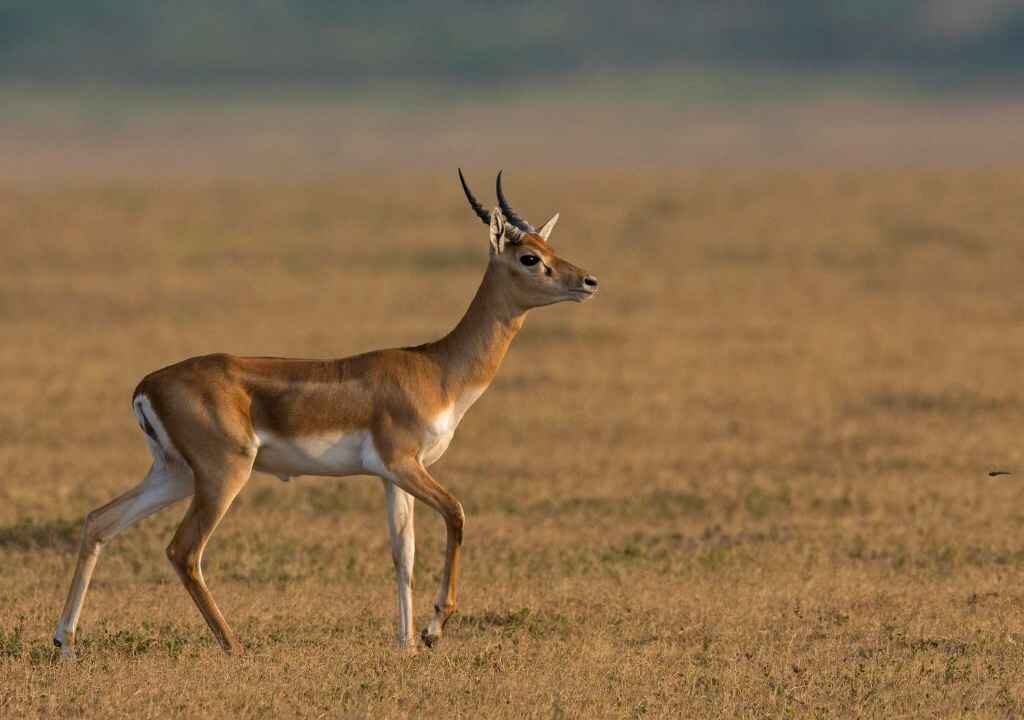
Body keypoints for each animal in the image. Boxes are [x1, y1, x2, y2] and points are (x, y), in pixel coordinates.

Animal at [54, 170, 599, 655]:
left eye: (548, 247)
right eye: (529, 257)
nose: (589, 280)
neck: (437, 368)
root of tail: (147, 385)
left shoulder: (392, 476)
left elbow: (403, 553)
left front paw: (405, 644)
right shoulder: (403, 463)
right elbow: (457, 513)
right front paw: (432, 630)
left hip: (175, 474)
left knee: (100, 522)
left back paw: (65, 643)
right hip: (222, 474)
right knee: (183, 551)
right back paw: (235, 646)